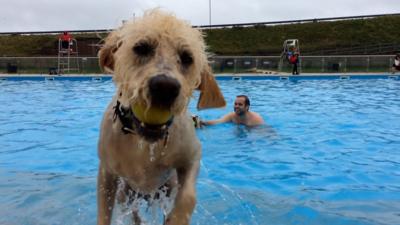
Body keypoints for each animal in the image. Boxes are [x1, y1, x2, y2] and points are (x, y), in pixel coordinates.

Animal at [96, 10, 225, 225]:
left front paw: (176, 218)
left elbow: (188, 197)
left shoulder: (192, 156)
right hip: (126, 194)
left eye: (187, 57)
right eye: (141, 48)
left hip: (167, 187)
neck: (145, 143)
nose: (165, 87)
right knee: (134, 213)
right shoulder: (107, 173)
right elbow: (104, 213)